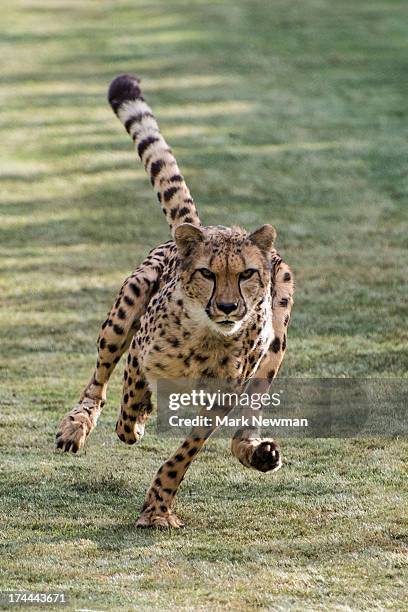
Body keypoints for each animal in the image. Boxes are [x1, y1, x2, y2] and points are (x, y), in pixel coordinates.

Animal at [55, 75, 294, 524]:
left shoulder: (222, 398)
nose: (228, 308)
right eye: (207, 274)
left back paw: (257, 451)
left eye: (247, 274)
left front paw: (158, 506)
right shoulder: (139, 351)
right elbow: (130, 393)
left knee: (250, 417)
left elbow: (186, 451)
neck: (208, 338)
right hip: (128, 303)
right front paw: (136, 419)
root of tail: (203, 227)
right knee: (98, 381)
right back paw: (77, 425)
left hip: (277, 337)